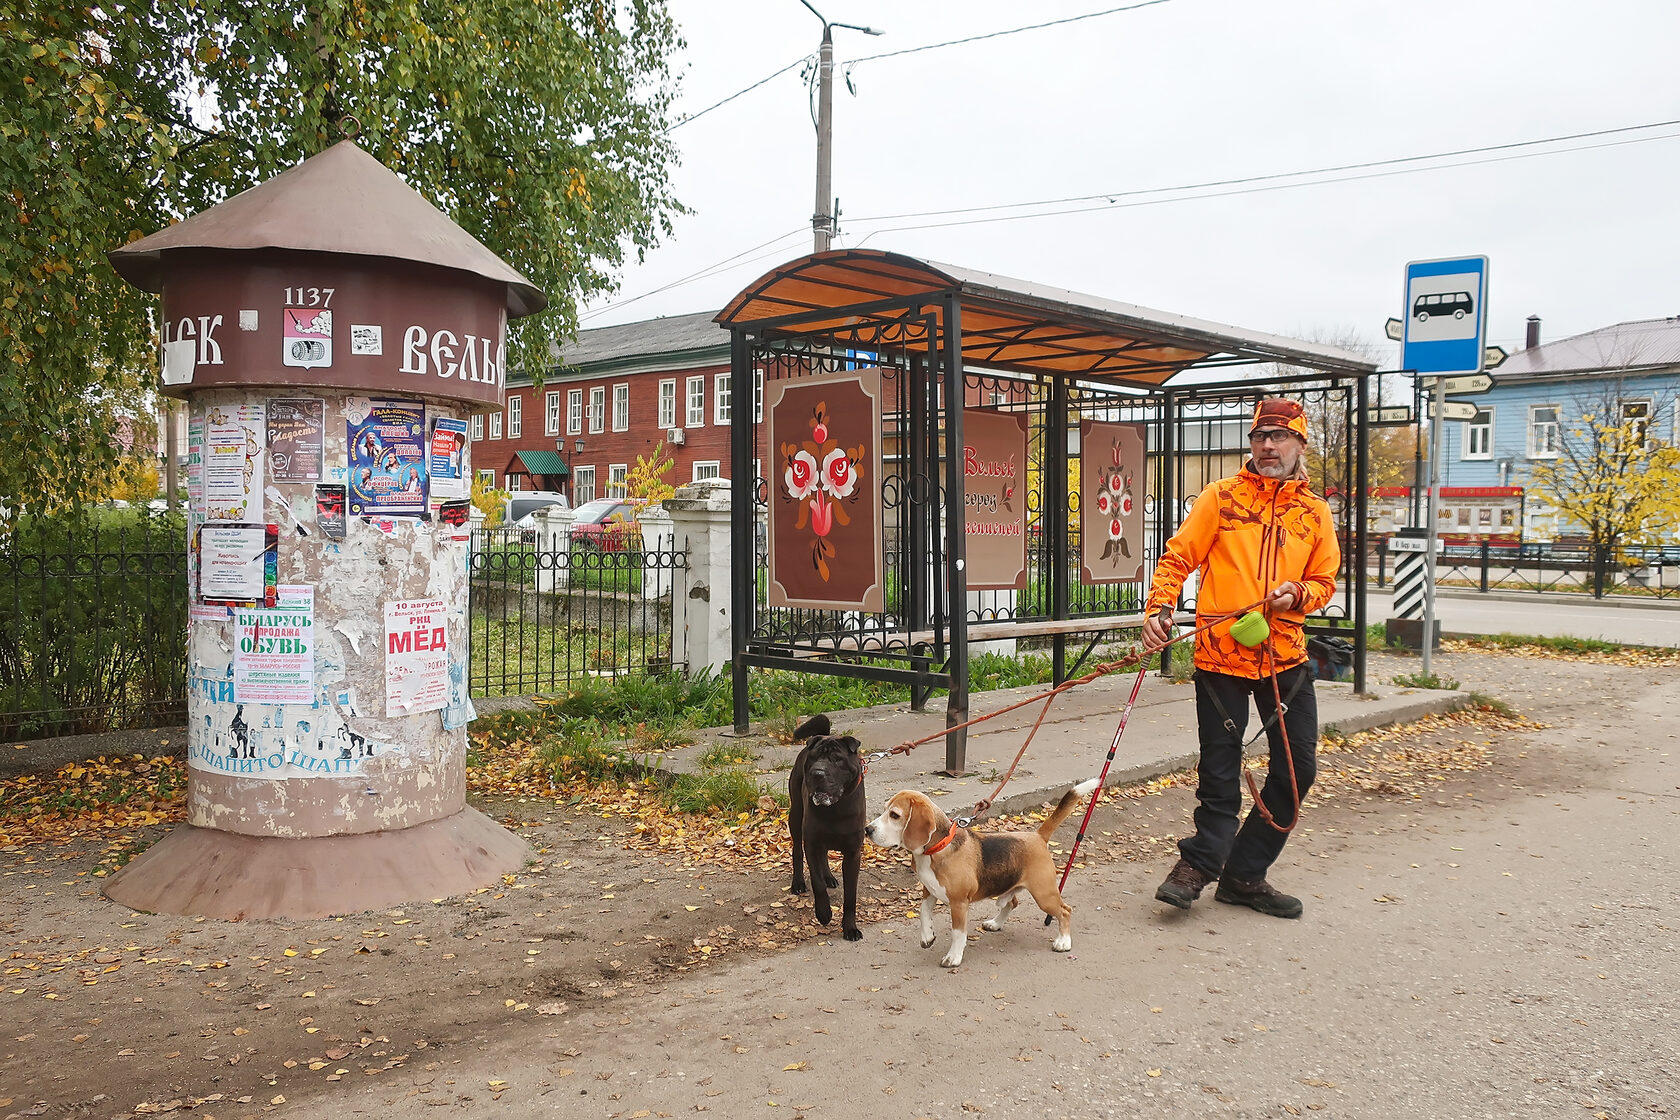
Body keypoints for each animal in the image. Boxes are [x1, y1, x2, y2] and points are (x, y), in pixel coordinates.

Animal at [786, 715, 866, 940]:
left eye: (837, 759)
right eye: (814, 758)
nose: (817, 773)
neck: (835, 809)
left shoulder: (853, 853)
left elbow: (850, 895)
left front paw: (850, 928)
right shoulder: (811, 843)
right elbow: (817, 883)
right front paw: (823, 913)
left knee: (824, 856)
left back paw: (829, 877)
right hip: (796, 817)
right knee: (797, 852)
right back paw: (798, 883)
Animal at [866, 779, 1102, 973]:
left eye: (894, 815)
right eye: (884, 810)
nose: (867, 829)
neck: (937, 848)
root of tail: (1037, 835)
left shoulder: (959, 903)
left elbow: (958, 932)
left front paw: (953, 957)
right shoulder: (928, 890)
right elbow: (923, 912)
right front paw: (927, 936)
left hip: (1044, 895)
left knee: (1065, 910)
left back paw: (1063, 942)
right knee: (1012, 903)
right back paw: (996, 923)